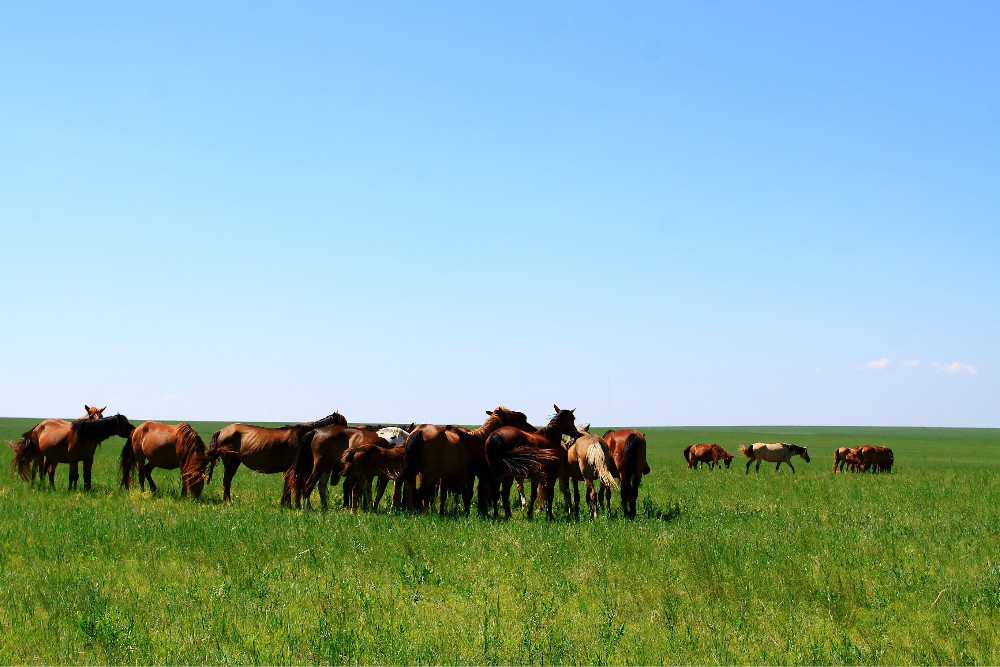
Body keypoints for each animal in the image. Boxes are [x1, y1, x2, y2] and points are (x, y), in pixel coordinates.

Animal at [204, 412, 348, 506]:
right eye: (343, 425)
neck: (304, 436)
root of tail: (221, 431)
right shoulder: (293, 468)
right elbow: (292, 485)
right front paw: (289, 505)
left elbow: (290, 486)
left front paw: (286, 504)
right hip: (231, 462)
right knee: (227, 481)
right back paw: (227, 501)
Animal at [400, 408, 540, 516]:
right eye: (519, 419)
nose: (533, 430)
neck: (476, 439)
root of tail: (419, 431)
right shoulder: (470, 474)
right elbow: (468, 494)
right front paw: (467, 513)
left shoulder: (445, 476)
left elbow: (444, 496)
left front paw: (442, 513)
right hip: (427, 474)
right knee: (419, 493)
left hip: (417, 473)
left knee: (414, 491)